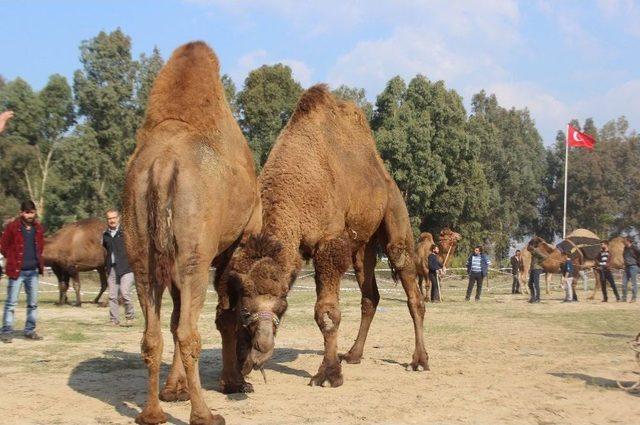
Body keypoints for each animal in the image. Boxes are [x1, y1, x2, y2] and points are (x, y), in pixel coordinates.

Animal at [122, 41, 258, 424]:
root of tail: (162, 165)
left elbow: (172, 317)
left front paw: (174, 390)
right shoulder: (235, 242)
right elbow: (227, 314)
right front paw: (234, 382)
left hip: (143, 249)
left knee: (153, 331)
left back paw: (152, 412)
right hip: (195, 250)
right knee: (187, 331)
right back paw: (205, 414)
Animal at [216, 83, 430, 394]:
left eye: (282, 305)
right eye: (245, 310)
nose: (261, 348)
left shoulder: (329, 244)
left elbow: (326, 313)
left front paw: (328, 375)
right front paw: (233, 376)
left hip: (394, 209)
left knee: (407, 278)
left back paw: (419, 360)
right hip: (361, 244)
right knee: (370, 293)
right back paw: (353, 354)